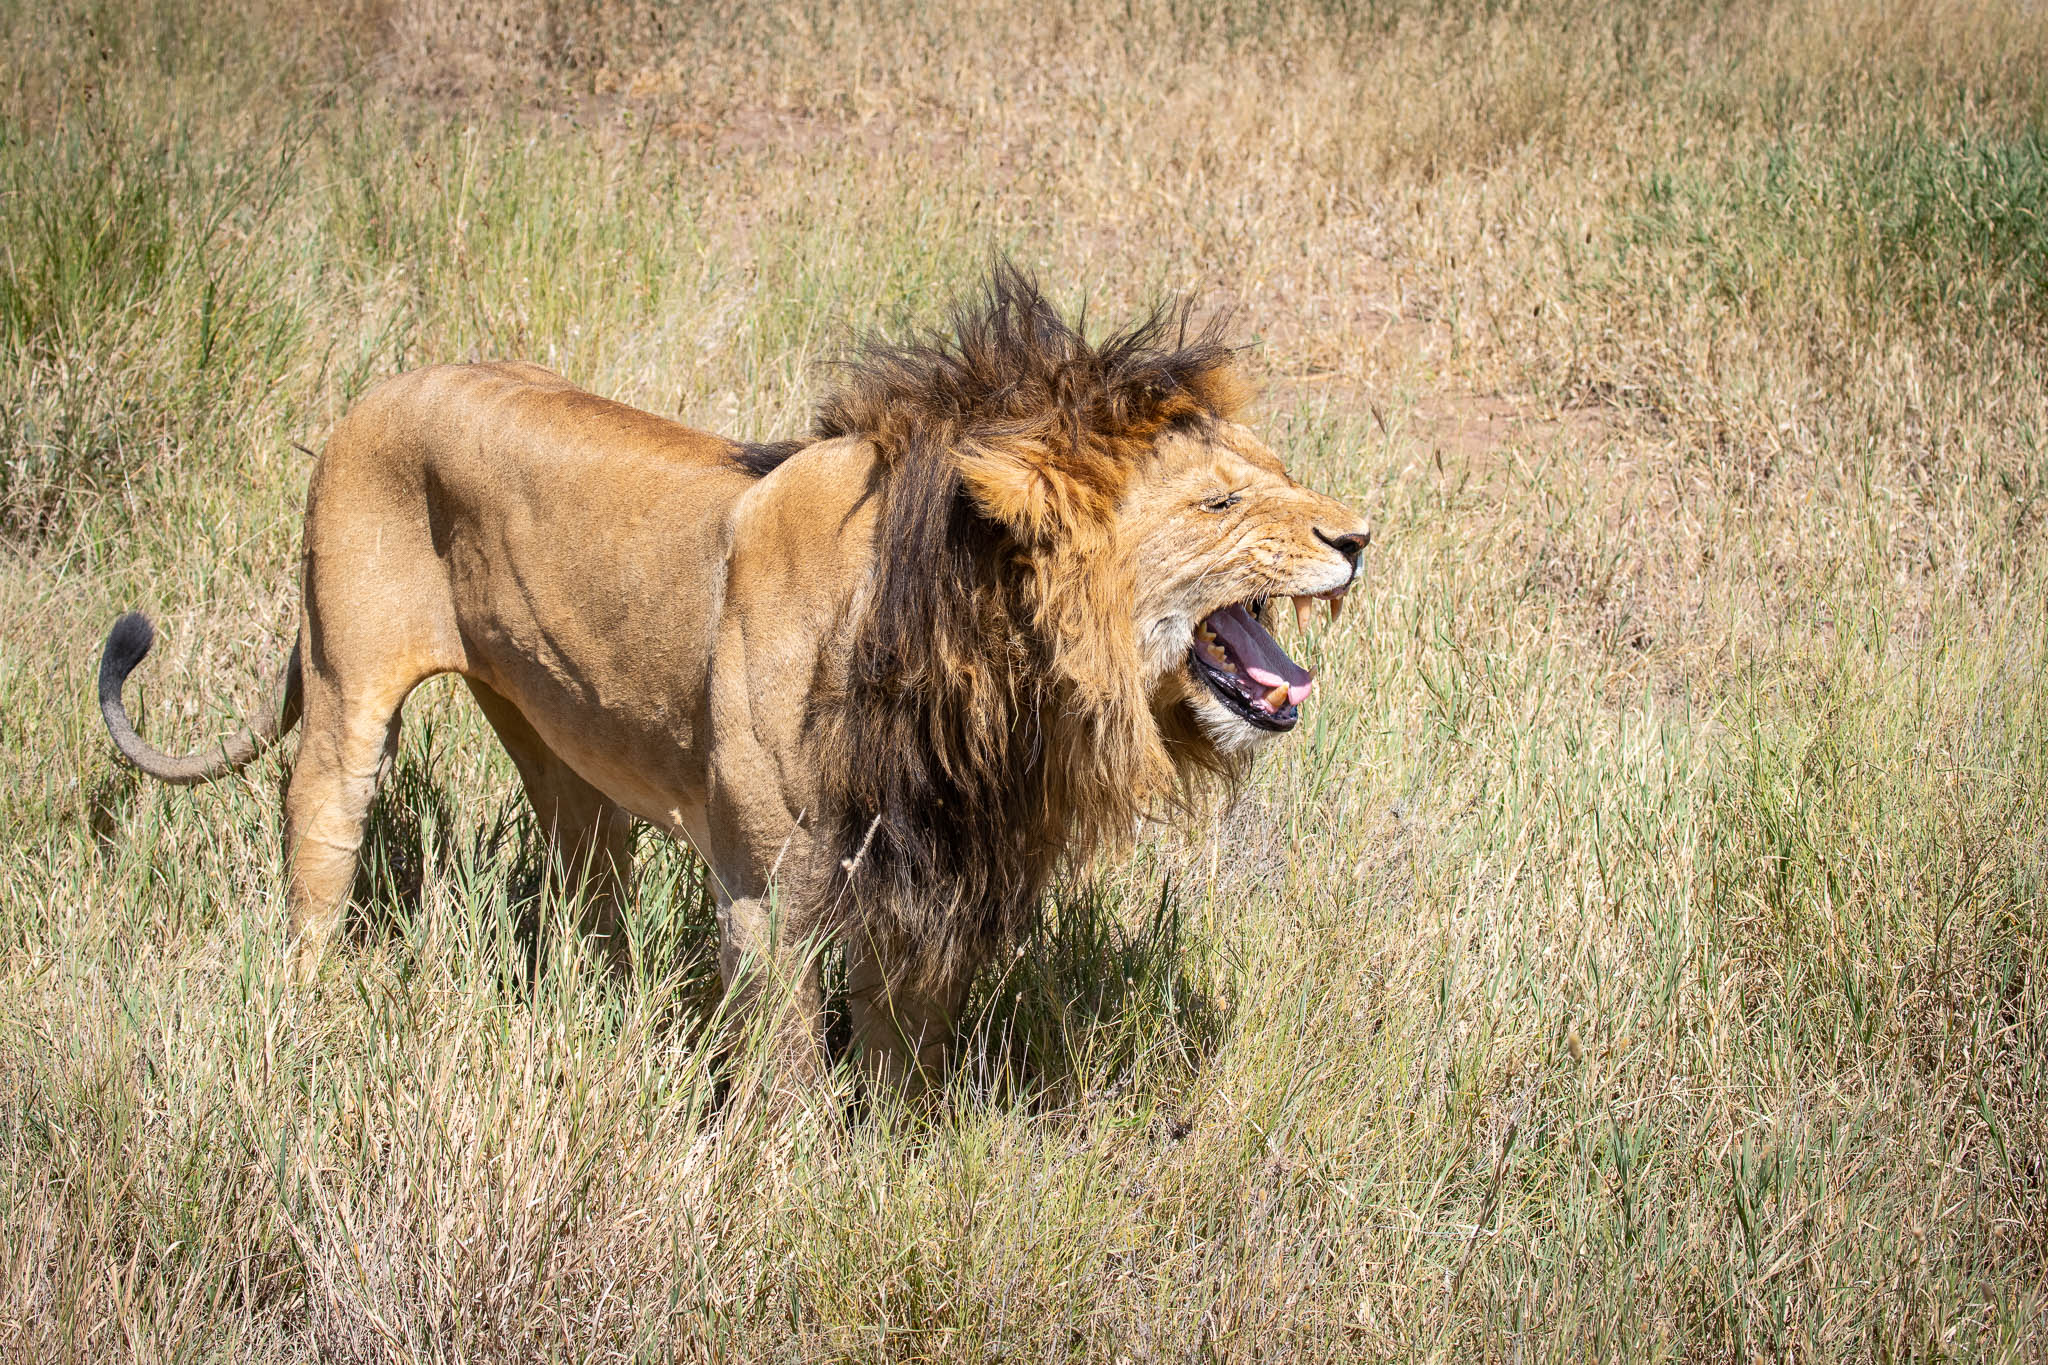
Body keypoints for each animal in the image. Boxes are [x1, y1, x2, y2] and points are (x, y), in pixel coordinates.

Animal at [99, 272, 1376, 1096]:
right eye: (1218, 502)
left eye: (1272, 472)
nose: (1358, 536)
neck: (971, 654)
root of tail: (385, 385)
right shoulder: (772, 895)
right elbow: (792, 1072)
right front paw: (796, 1187)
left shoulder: (921, 875)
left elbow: (903, 1060)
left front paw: (896, 1170)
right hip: (343, 688)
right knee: (320, 842)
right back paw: (308, 1023)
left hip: (562, 748)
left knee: (585, 890)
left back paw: (612, 1024)